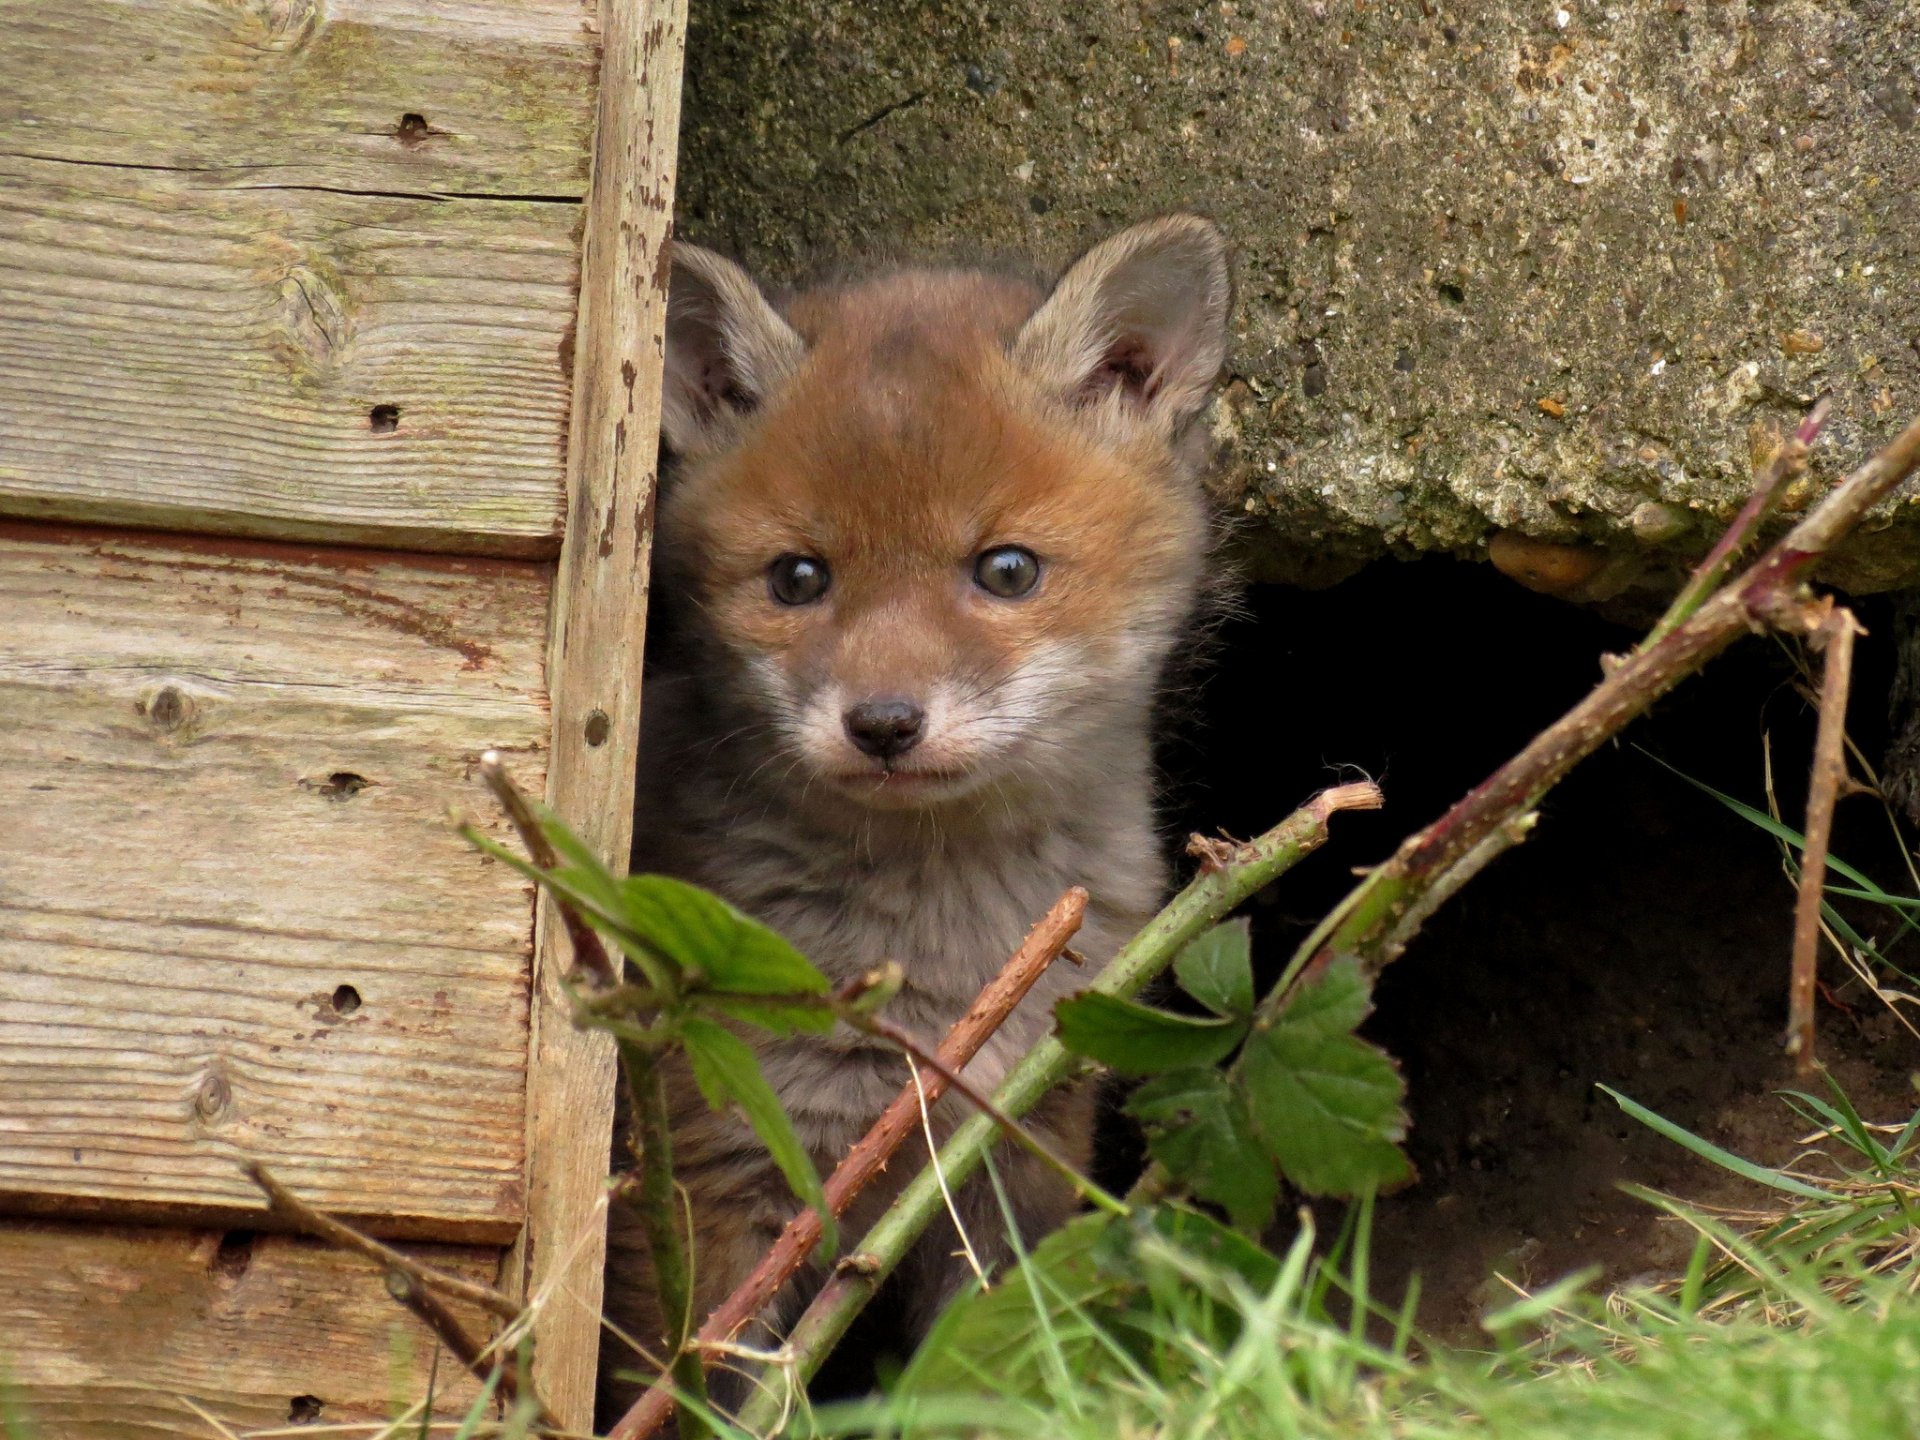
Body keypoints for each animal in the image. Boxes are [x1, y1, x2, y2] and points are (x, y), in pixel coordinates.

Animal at [601, 214, 1232, 1421]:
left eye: (1007, 569)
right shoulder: (724, 1170)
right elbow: (696, 1391)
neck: (943, 962)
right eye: (798, 577)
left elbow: (988, 1365)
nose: (884, 724)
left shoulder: (1013, 1147)